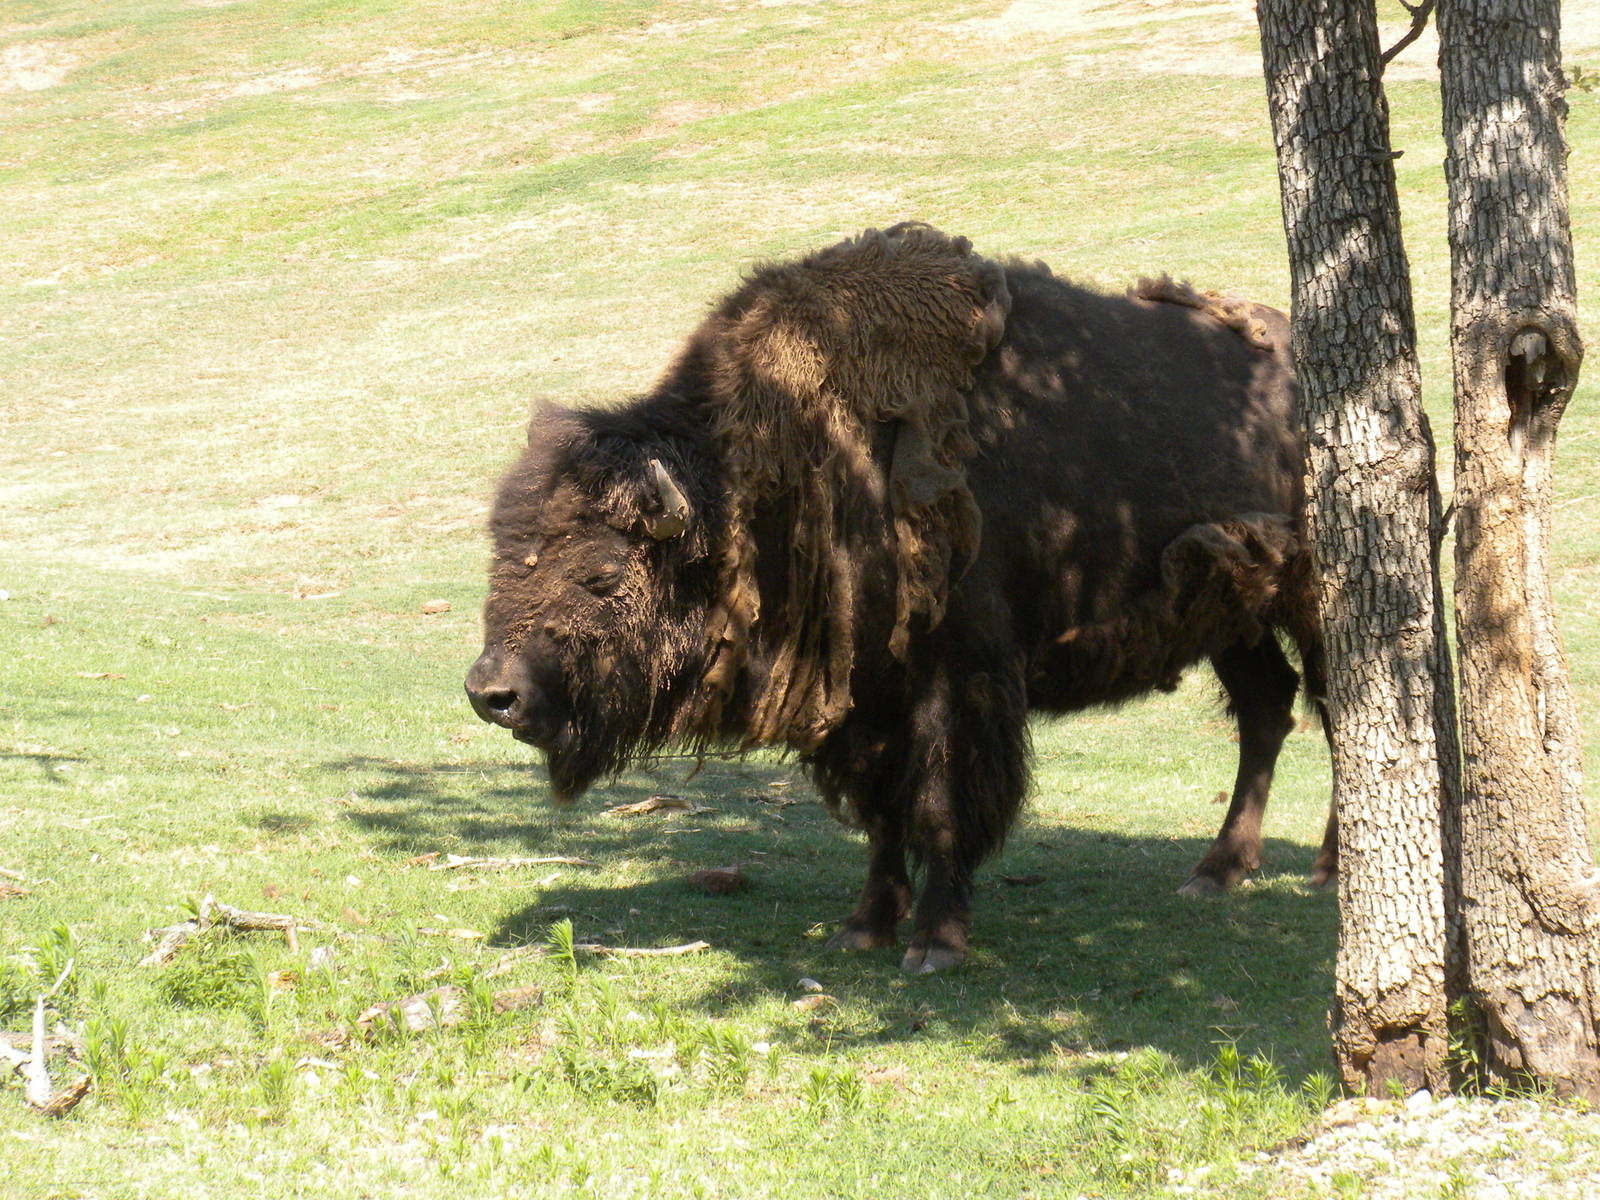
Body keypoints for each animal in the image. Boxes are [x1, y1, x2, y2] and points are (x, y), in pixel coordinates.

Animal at [466, 224, 1332, 973]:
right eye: (503, 557)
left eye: (603, 574)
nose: (491, 693)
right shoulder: (864, 697)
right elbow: (883, 812)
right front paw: (866, 928)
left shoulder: (957, 677)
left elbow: (941, 800)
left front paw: (936, 944)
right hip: (1231, 612)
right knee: (1268, 707)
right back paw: (1216, 872)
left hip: (1311, 603)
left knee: (1338, 706)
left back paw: (1322, 867)